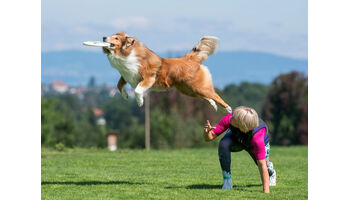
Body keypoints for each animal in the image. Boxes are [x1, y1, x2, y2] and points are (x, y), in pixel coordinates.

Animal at [102, 32, 231, 113]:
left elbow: (137, 90)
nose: (103, 37)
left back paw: (229, 109)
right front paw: (125, 96)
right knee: (207, 97)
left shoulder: (148, 77)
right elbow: (118, 85)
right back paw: (214, 105)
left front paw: (140, 102)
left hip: (198, 87)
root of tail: (188, 58)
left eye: (116, 38)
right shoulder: (126, 75)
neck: (127, 53)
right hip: (189, 90)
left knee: (215, 95)